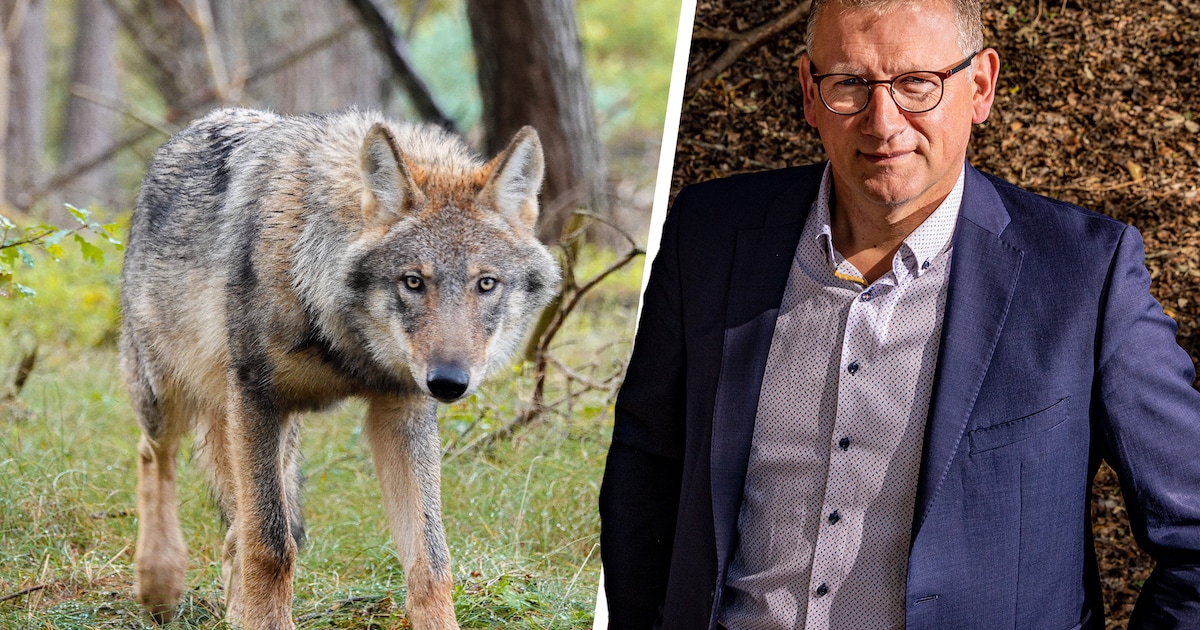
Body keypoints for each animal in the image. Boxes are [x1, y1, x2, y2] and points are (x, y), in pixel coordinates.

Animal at [119, 108, 561, 629]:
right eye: (413, 282)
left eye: (486, 284)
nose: (449, 383)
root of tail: (197, 125)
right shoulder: (255, 398)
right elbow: (272, 547)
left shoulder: (402, 410)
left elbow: (431, 560)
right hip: (171, 394)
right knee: (154, 455)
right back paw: (159, 582)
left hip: (272, 433)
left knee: (236, 527)